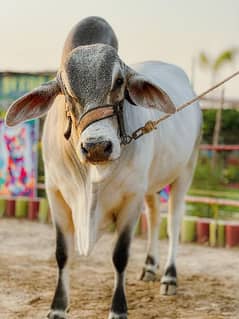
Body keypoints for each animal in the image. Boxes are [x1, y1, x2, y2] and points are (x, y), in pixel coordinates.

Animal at [4, 15, 202, 319]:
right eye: (65, 91)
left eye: (119, 81)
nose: (97, 146)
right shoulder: (56, 194)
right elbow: (62, 253)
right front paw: (57, 307)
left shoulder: (131, 198)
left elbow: (119, 256)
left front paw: (118, 309)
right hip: (151, 185)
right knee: (155, 217)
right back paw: (150, 267)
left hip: (185, 171)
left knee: (174, 221)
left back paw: (169, 277)